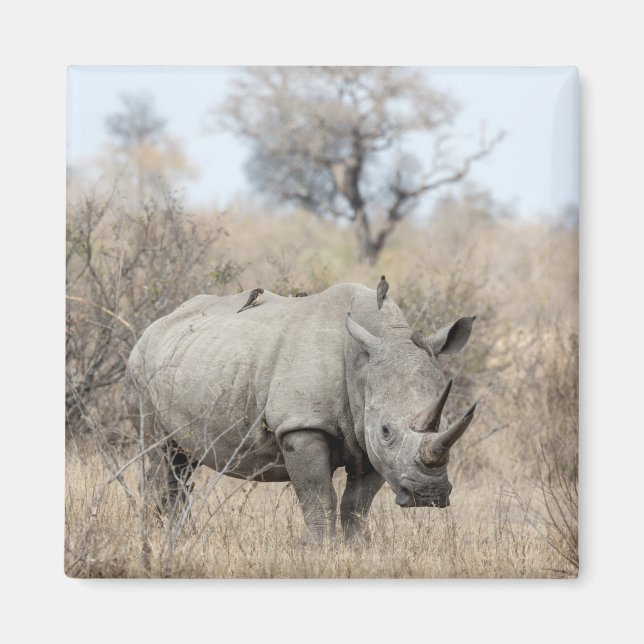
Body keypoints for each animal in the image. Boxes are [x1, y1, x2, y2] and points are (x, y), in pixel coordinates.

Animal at [125, 283, 477, 542]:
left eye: (445, 424)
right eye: (386, 431)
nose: (427, 495)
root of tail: (156, 324)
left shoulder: (367, 438)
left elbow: (356, 505)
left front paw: (358, 550)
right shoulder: (302, 425)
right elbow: (319, 498)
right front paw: (321, 550)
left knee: (183, 464)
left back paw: (177, 540)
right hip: (140, 368)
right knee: (162, 455)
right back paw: (158, 540)